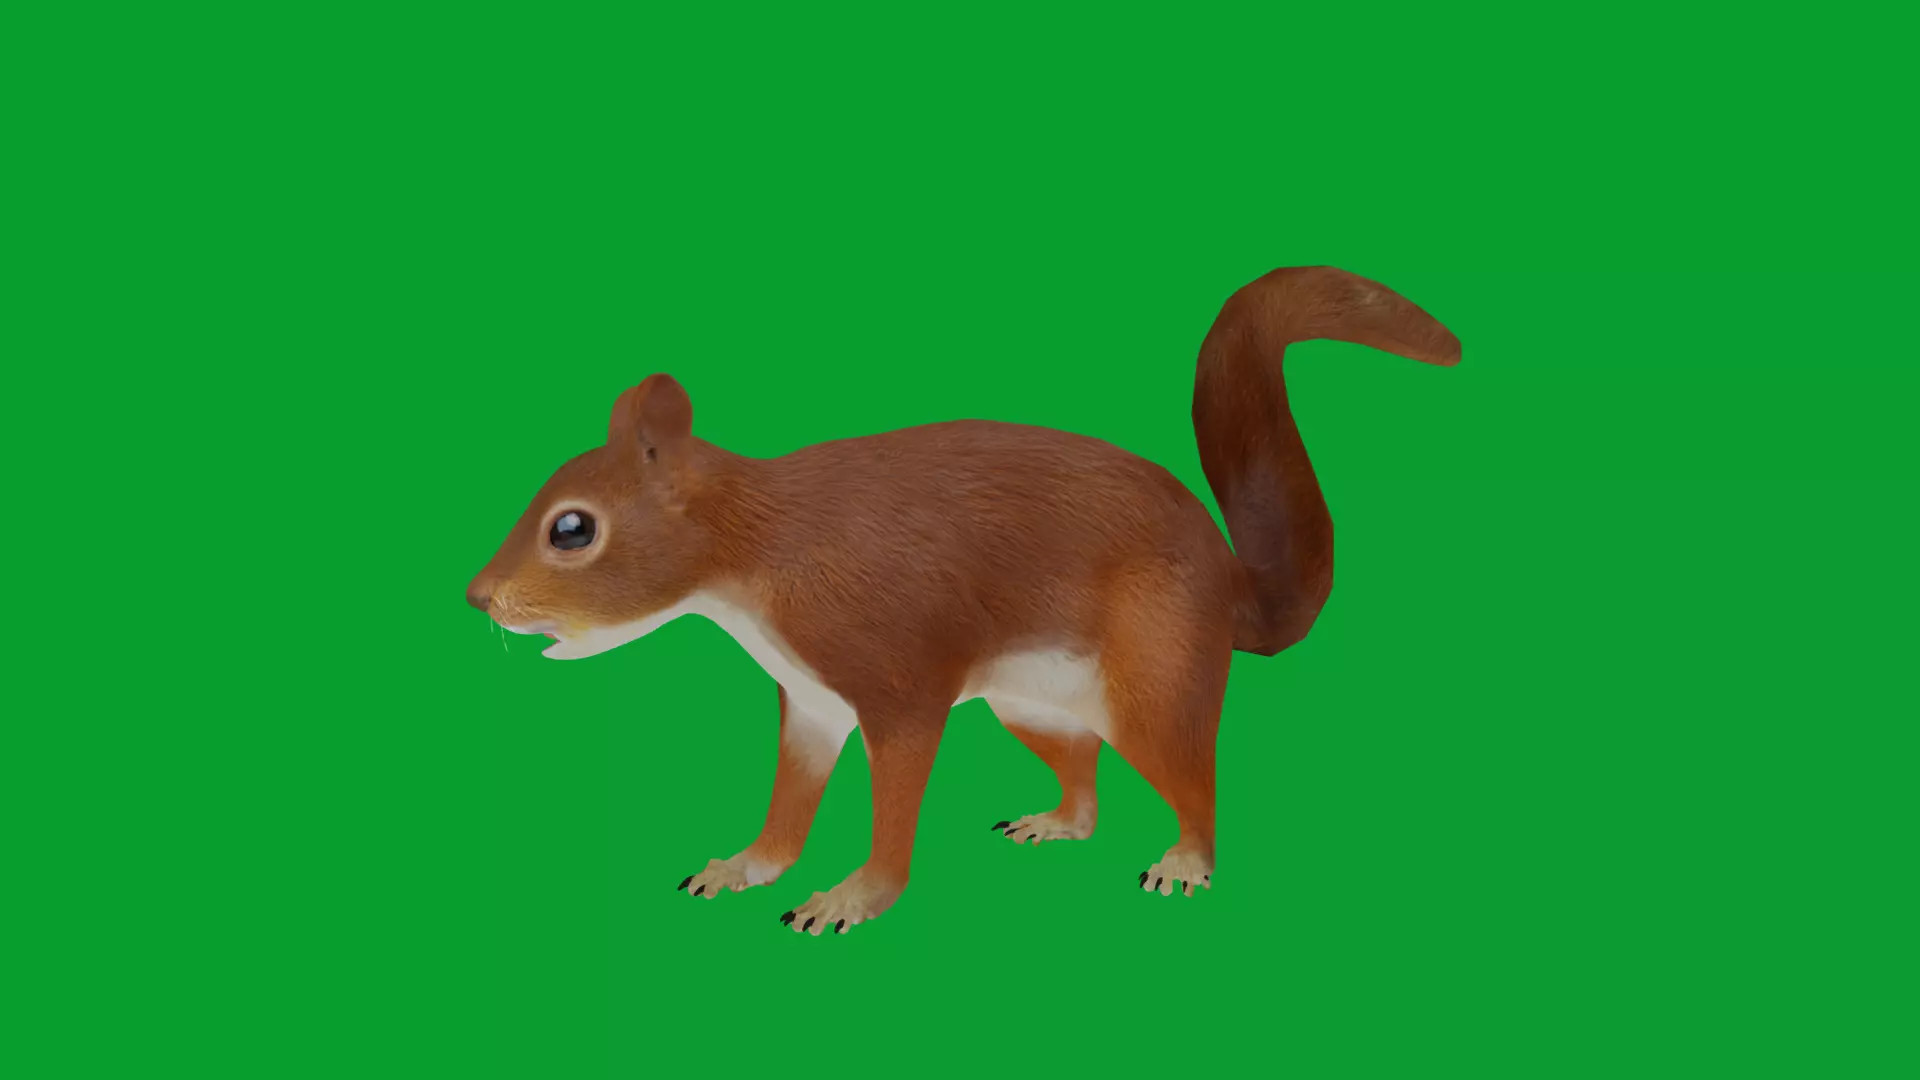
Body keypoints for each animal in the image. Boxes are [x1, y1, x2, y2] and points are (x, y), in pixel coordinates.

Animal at [466, 265, 1460, 936]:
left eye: (571, 529)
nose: (478, 597)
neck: (756, 557)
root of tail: (1227, 583)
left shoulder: (900, 680)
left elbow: (895, 800)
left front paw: (851, 896)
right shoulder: (811, 701)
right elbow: (790, 803)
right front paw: (748, 865)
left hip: (1152, 677)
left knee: (1193, 779)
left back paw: (1185, 859)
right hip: (1031, 704)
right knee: (1085, 785)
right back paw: (1054, 820)